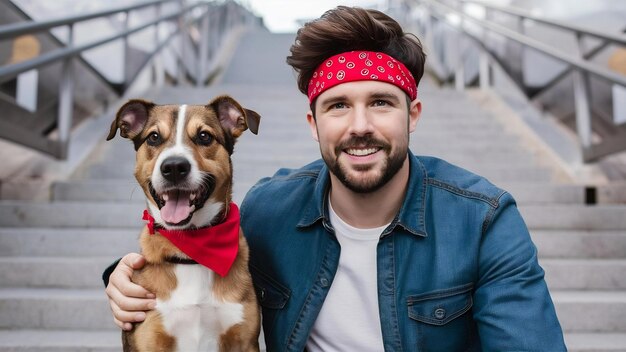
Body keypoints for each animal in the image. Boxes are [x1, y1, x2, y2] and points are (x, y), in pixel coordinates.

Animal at [107, 95, 260, 352]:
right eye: (153, 137)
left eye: (204, 136)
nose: (174, 167)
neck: (190, 252)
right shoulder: (150, 340)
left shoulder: (244, 340)